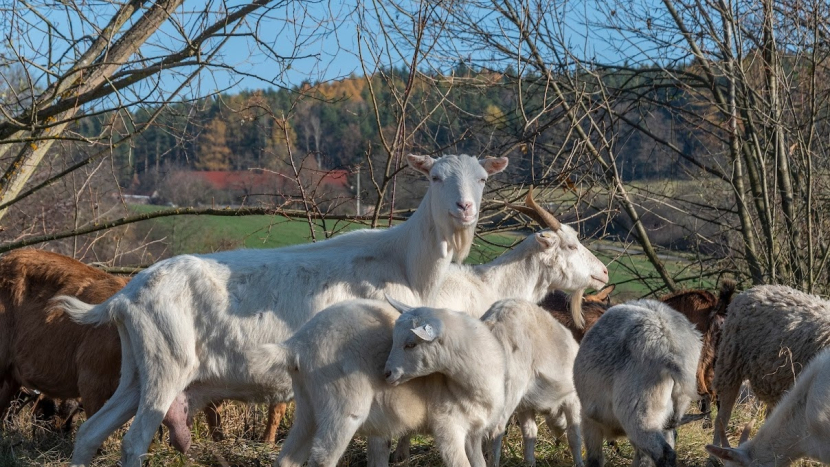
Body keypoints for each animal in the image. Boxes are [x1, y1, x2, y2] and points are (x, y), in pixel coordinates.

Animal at [254, 298, 510, 467]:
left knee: (288, 458)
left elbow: (479, 463)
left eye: (411, 344)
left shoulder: (475, 433)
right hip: (341, 405)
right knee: (322, 458)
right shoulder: (448, 426)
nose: (386, 374)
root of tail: (298, 344)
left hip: (309, 404)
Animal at [580, 300, 704, 467]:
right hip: (671, 410)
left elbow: (594, 459)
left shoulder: (589, 423)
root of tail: (669, 344)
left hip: (640, 412)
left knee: (663, 454)